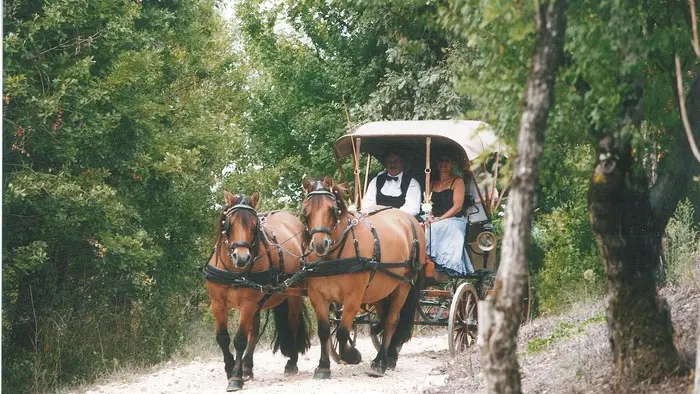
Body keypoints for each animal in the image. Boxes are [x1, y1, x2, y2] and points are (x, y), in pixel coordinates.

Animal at [204, 191, 310, 390]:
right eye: (229, 223)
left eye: (254, 225)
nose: (242, 257)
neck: (234, 271)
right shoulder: (217, 303)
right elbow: (223, 338)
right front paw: (230, 369)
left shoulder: (247, 303)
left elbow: (239, 340)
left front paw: (235, 378)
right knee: (254, 331)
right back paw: (247, 368)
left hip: (293, 295)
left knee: (292, 323)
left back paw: (291, 362)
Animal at [300, 177, 424, 378]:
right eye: (306, 211)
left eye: (331, 209)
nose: (320, 245)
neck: (333, 257)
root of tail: (410, 221)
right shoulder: (317, 297)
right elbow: (324, 331)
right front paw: (323, 366)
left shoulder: (353, 297)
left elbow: (343, 331)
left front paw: (352, 355)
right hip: (382, 290)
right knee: (384, 319)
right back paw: (389, 357)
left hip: (404, 286)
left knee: (392, 321)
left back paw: (380, 362)